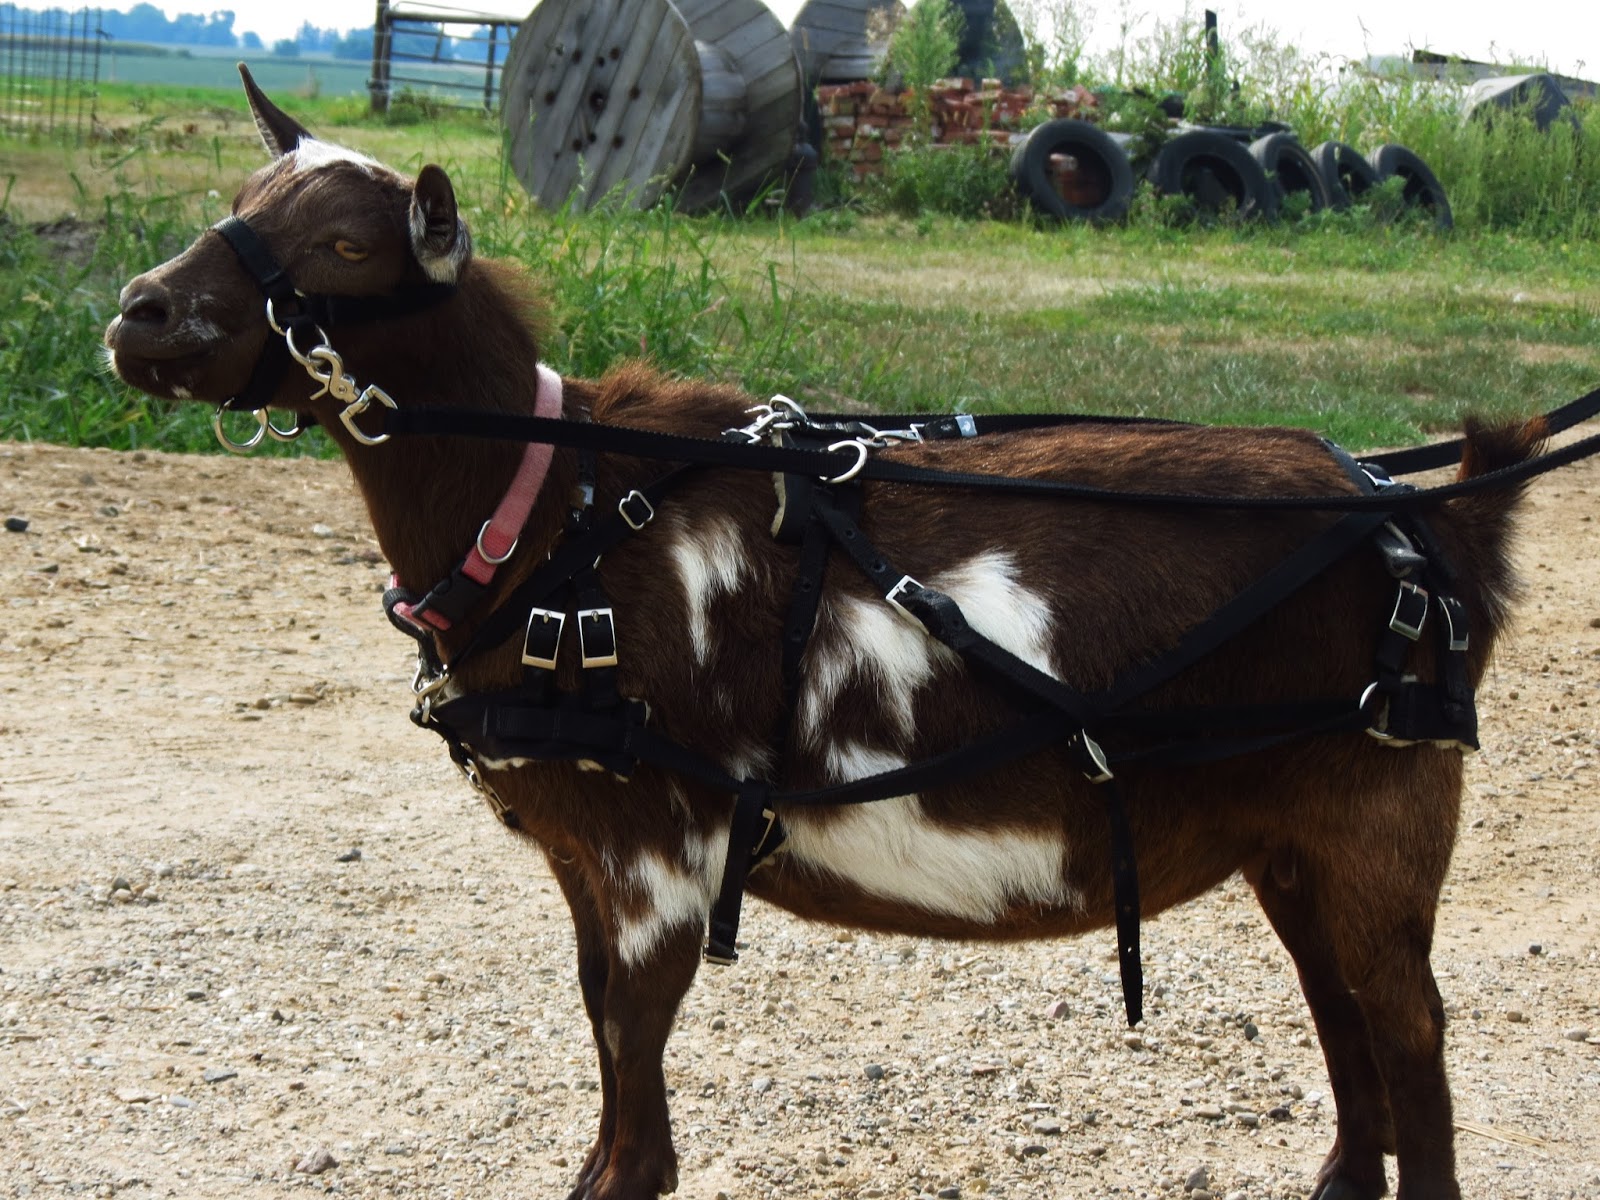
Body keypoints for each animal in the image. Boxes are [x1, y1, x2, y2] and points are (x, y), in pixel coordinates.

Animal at [104, 67, 1547, 1200]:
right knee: (1345, 1019)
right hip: (1291, 833)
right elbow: (604, 1066)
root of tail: (1435, 516)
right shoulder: (585, 859)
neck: (560, 513)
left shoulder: (656, 856)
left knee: (1411, 1037)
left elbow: (633, 1118)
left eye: (352, 247)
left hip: (1380, 812)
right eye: (248, 194)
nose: (138, 315)